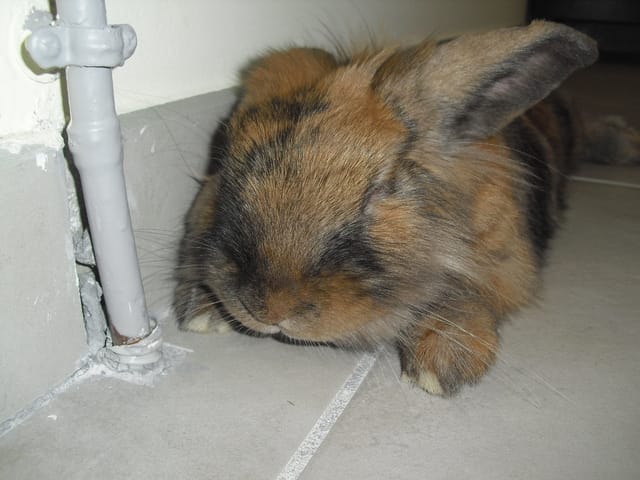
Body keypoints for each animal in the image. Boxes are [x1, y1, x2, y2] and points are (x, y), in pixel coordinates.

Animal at [173, 20, 637, 396]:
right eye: (225, 162)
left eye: (384, 188)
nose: (270, 309)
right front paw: (204, 313)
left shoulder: (504, 265)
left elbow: (467, 295)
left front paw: (439, 365)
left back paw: (625, 144)